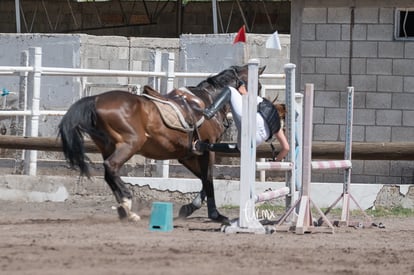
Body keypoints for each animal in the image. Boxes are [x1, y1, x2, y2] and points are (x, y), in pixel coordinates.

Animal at [58, 66, 266, 225]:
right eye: (259, 85)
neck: (208, 103)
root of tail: (96, 99)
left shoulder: (187, 154)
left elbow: (204, 180)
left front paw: (189, 208)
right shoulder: (206, 150)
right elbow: (208, 179)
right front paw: (215, 215)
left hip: (108, 146)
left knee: (109, 173)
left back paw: (125, 209)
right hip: (130, 143)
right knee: (111, 166)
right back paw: (128, 204)